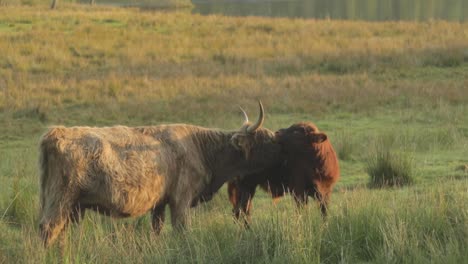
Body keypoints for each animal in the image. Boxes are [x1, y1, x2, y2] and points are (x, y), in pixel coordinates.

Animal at [38, 102, 280, 246]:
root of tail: (55, 133)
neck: (202, 149)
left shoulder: (160, 203)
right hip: (60, 199)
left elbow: (157, 228)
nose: (281, 142)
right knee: (48, 228)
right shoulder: (181, 200)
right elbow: (182, 230)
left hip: (64, 203)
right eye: (264, 140)